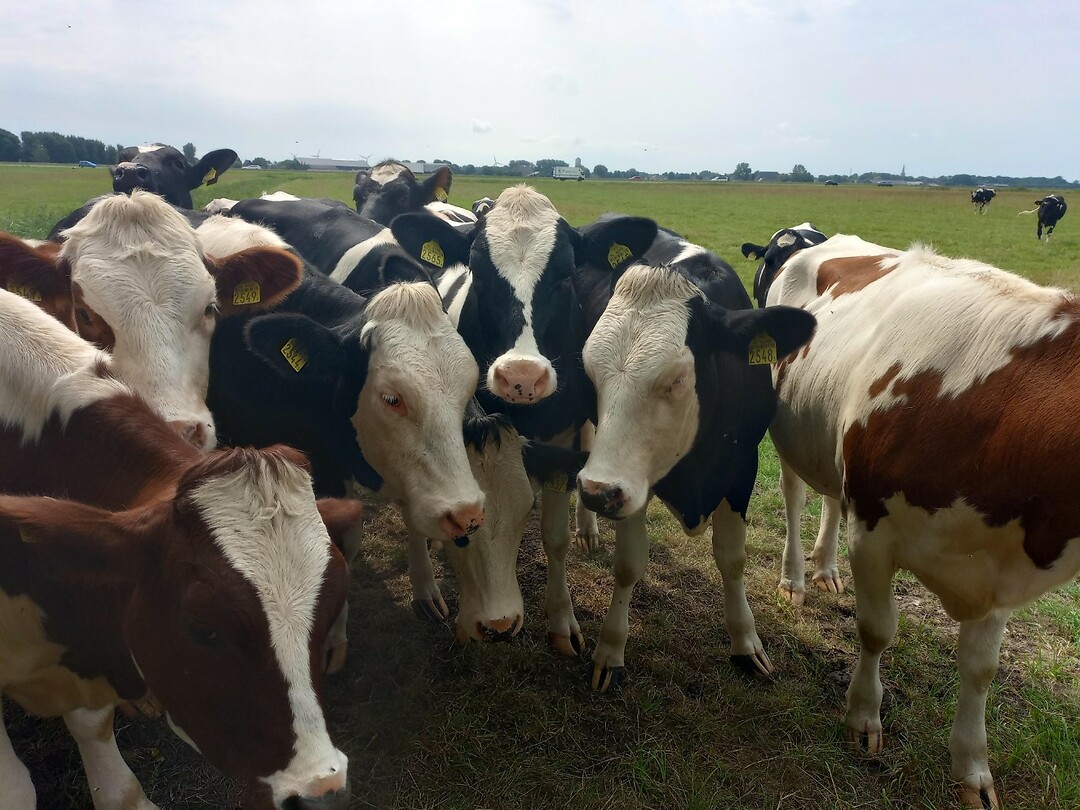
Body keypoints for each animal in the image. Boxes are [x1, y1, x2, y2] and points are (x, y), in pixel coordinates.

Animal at [572, 214, 816, 690]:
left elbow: (733, 559)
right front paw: (610, 649)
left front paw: (746, 642)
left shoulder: (742, 467)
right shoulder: (632, 482)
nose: (595, 491)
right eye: (590, 371)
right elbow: (629, 563)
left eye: (676, 380)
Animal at [759, 233, 1080, 808]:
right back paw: (795, 578)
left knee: (831, 498)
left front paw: (972, 768)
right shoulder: (873, 532)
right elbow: (876, 629)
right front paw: (864, 717)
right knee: (795, 495)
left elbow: (981, 668)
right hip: (789, 430)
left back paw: (825, 569)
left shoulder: (1001, 566)